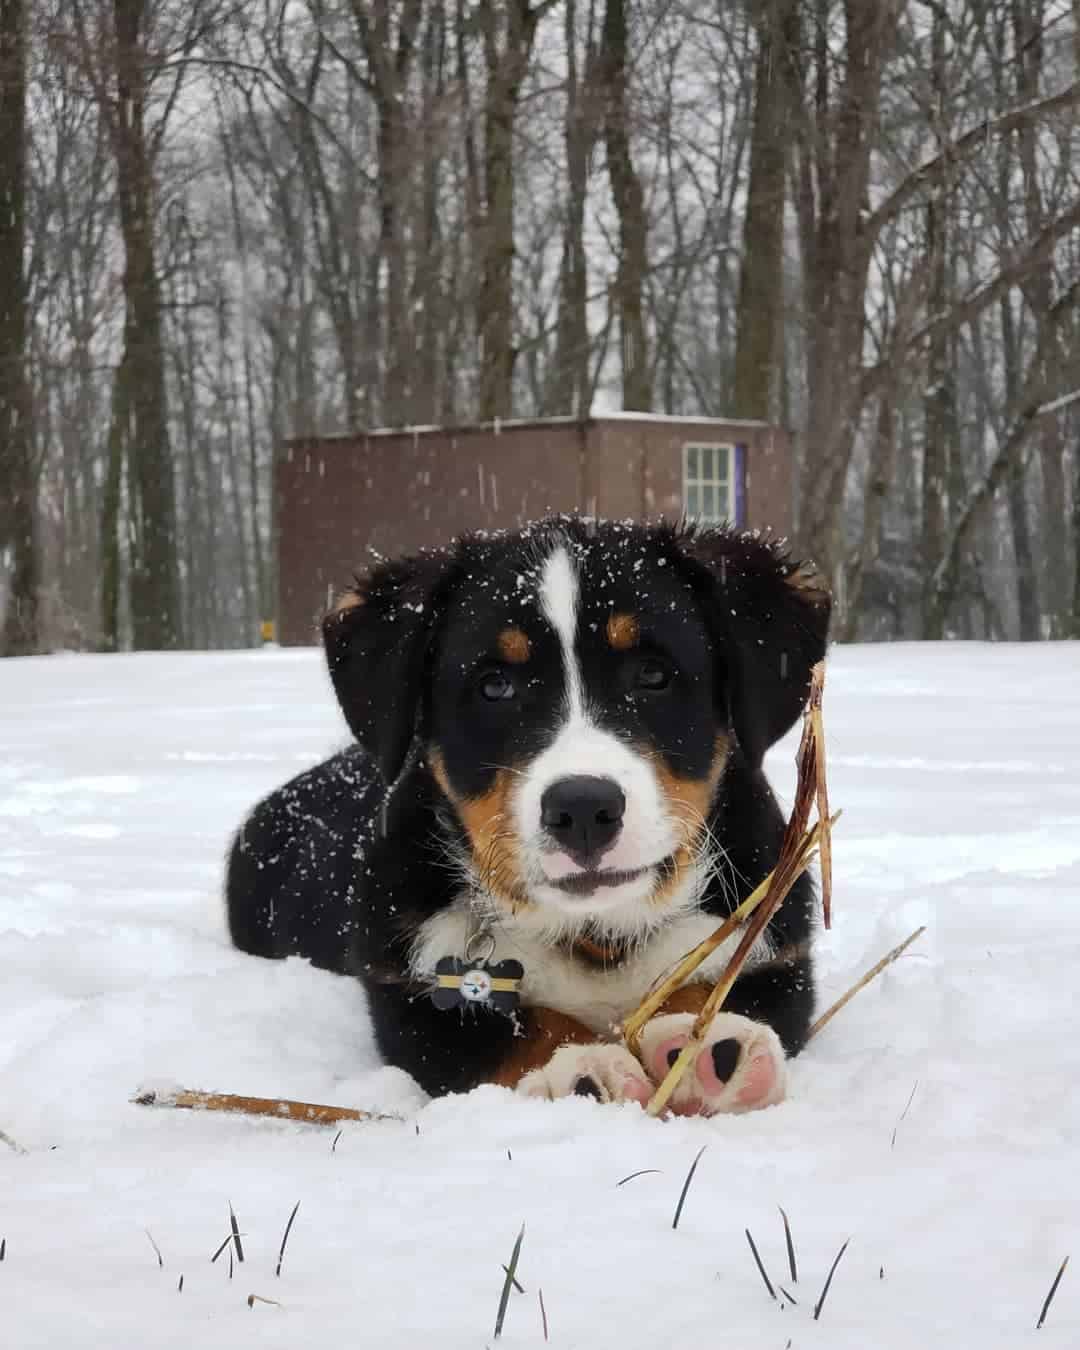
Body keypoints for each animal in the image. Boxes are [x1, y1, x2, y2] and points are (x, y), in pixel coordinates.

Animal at [228, 513, 831, 1107]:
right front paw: (579, 1068)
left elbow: (716, 982)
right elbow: (516, 1029)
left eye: (654, 675)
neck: (595, 935)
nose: (583, 808)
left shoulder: (778, 953)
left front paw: (706, 1043)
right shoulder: (411, 990)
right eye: (494, 685)